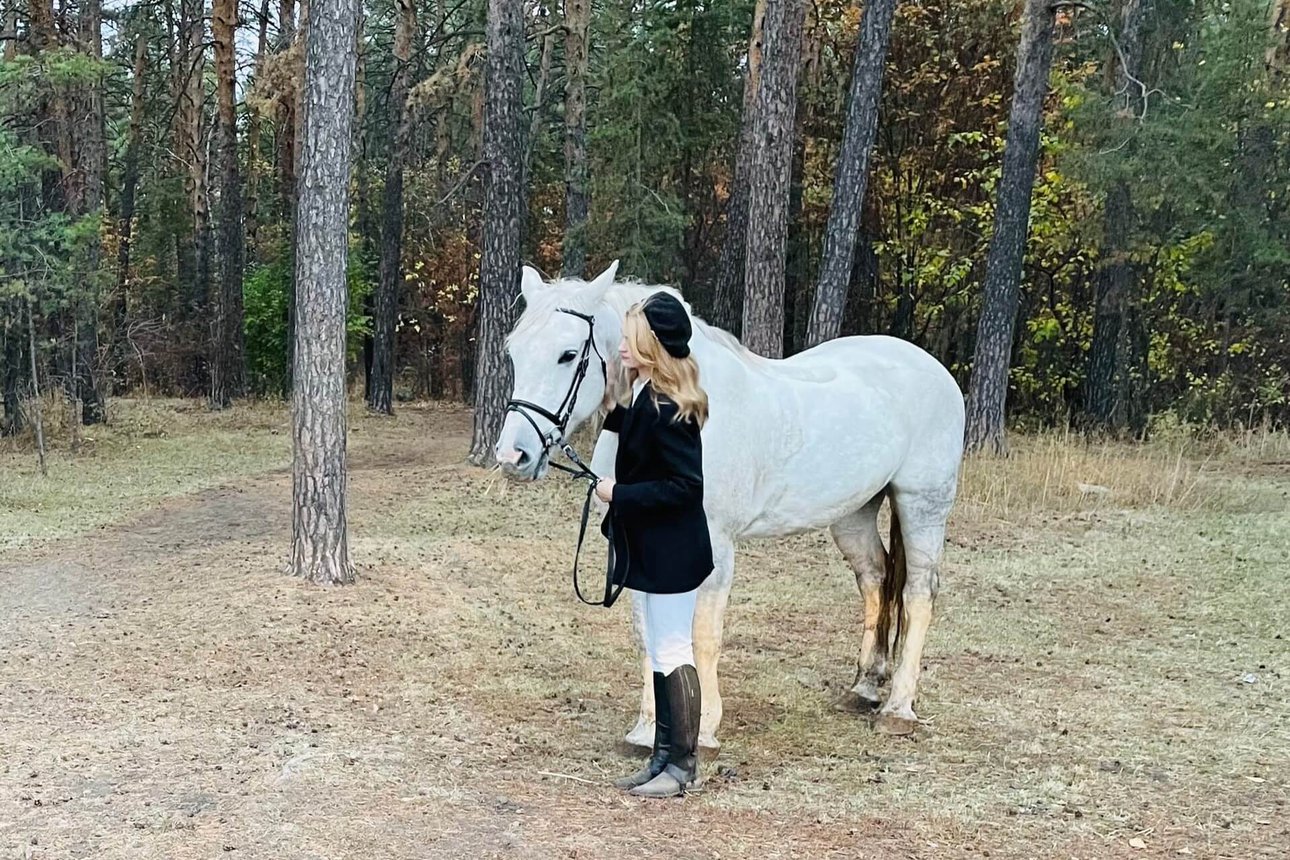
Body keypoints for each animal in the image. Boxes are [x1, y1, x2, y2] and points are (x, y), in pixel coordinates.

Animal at [497, 263, 964, 747]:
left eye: (568, 354)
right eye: (515, 353)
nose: (513, 456)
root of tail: (931, 367)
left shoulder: (715, 547)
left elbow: (703, 634)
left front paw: (703, 726)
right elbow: (648, 633)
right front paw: (647, 728)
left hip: (923, 504)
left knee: (918, 593)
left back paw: (897, 709)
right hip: (855, 514)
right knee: (876, 579)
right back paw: (866, 686)